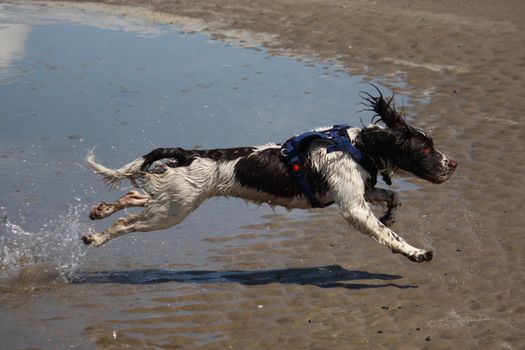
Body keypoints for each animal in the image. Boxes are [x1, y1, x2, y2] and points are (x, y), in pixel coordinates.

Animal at [81, 90, 454, 262]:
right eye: (425, 149)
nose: (453, 164)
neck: (358, 146)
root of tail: (189, 154)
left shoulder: (353, 194)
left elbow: (392, 196)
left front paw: (391, 213)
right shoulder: (353, 208)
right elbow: (387, 234)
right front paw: (416, 252)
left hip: (171, 200)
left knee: (135, 194)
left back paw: (100, 210)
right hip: (171, 211)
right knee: (125, 223)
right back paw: (95, 238)